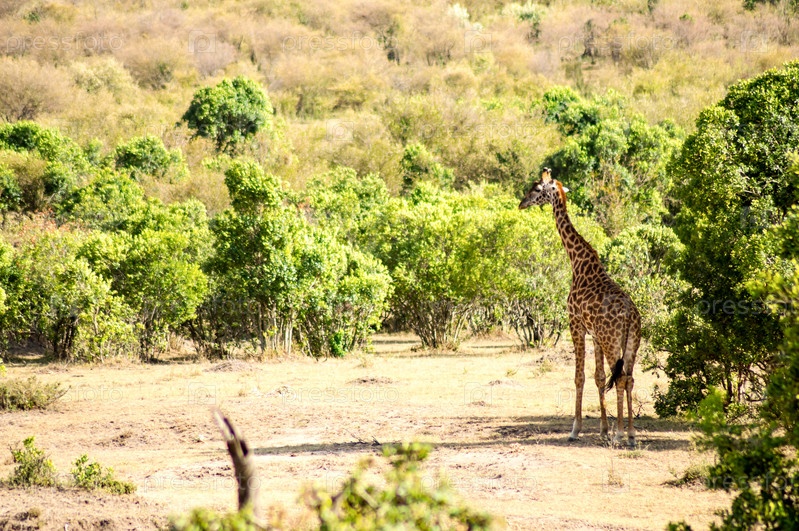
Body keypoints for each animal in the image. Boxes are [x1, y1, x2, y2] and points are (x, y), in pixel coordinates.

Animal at [519, 168, 641, 446]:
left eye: (536, 188)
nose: (521, 203)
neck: (578, 262)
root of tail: (631, 316)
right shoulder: (594, 334)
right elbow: (598, 377)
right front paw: (603, 430)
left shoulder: (575, 324)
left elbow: (579, 377)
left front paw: (575, 429)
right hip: (631, 343)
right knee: (629, 378)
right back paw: (630, 434)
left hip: (612, 341)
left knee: (620, 378)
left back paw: (620, 434)